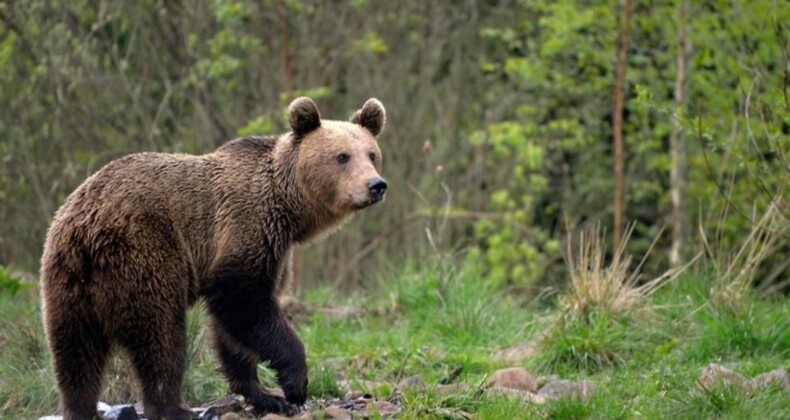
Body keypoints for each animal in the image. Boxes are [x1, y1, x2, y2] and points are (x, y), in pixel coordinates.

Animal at [41, 97, 388, 418]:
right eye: (342, 156)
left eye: (372, 154)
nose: (376, 185)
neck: (289, 207)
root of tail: (87, 228)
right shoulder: (245, 229)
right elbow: (244, 302)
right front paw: (294, 385)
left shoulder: (275, 250)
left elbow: (233, 329)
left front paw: (264, 394)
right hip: (144, 251)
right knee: (161, 335)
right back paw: (173, 406)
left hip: (67, 282)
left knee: (75, 354)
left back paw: (79, 406)